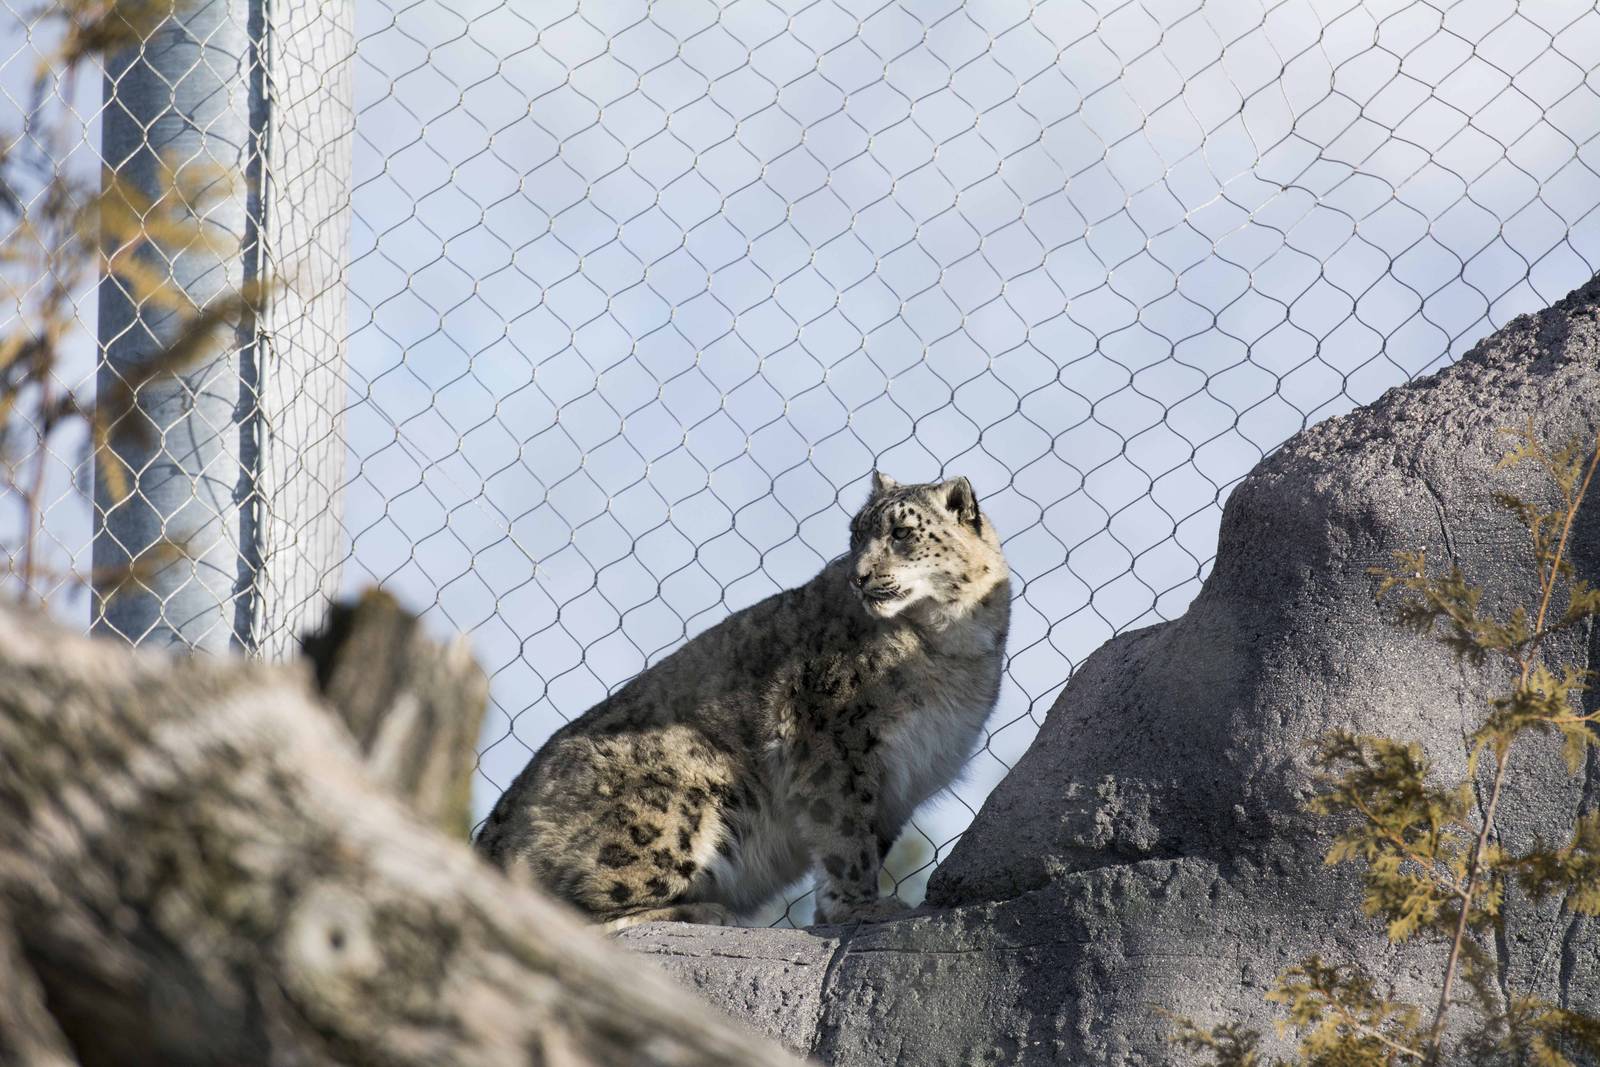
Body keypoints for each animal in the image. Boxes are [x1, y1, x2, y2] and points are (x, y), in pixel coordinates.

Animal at [474, 472, 1011, 929]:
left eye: (900, 533)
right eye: (855, 536)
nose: (858, 576)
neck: (951, 643)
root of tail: (491, 836)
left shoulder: (904, 776)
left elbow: (869, 840)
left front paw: (841, 910)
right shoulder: (836, 745)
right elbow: (844, 835)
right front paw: (859, 908)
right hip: (686, 788)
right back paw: (703, 911)